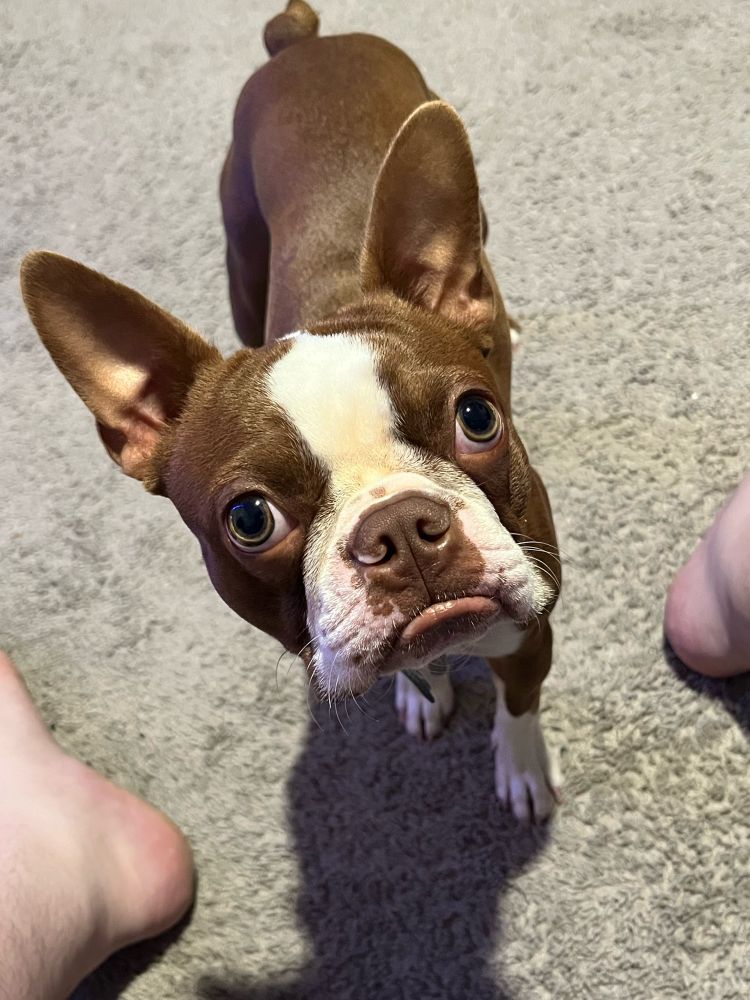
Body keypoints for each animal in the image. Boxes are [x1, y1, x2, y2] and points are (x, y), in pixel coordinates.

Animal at [20, 1, 561, 822]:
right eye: (250, 519)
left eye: (477, 419)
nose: (400, 526)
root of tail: (301, 43)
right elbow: (421, 670)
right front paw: (423, 693)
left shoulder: (534, 628)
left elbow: (520, 704)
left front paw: (523, 770)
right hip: (240, 248)